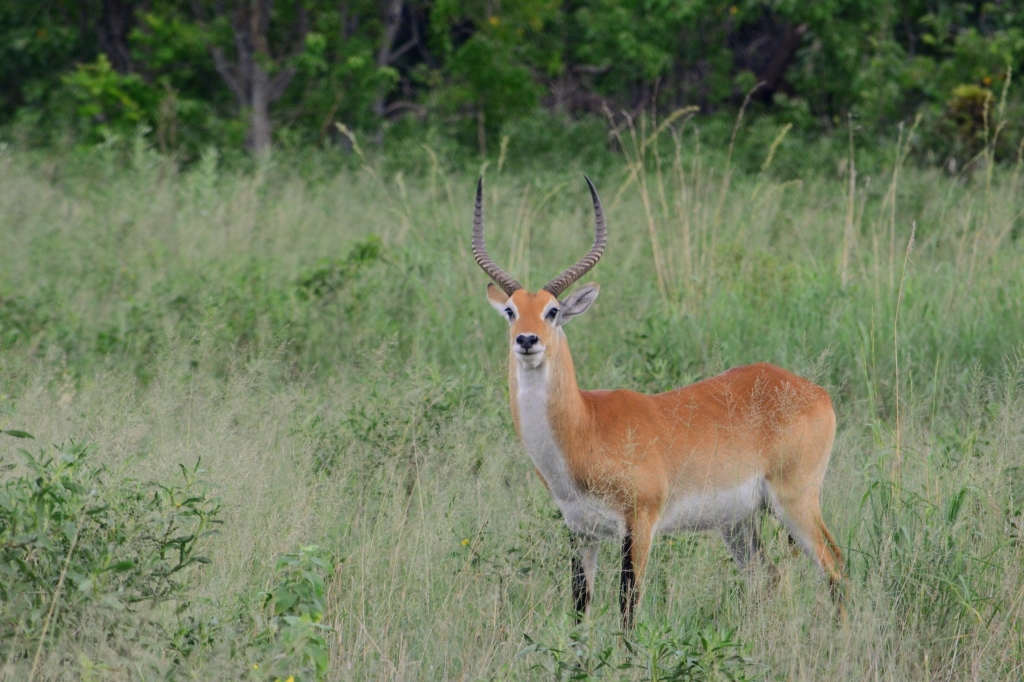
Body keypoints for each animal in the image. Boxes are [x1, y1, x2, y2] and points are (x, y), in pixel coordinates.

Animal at [471, 176, 839, 626]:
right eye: (510, 310)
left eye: (553, 311)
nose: (527, 340)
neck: (586, 426)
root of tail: (815, 391)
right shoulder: (580, 531)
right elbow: (579, 607)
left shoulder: (640, 524)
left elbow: (627, 606)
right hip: (738, 523)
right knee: (770, 577)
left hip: (796, 500)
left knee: (835, 566)